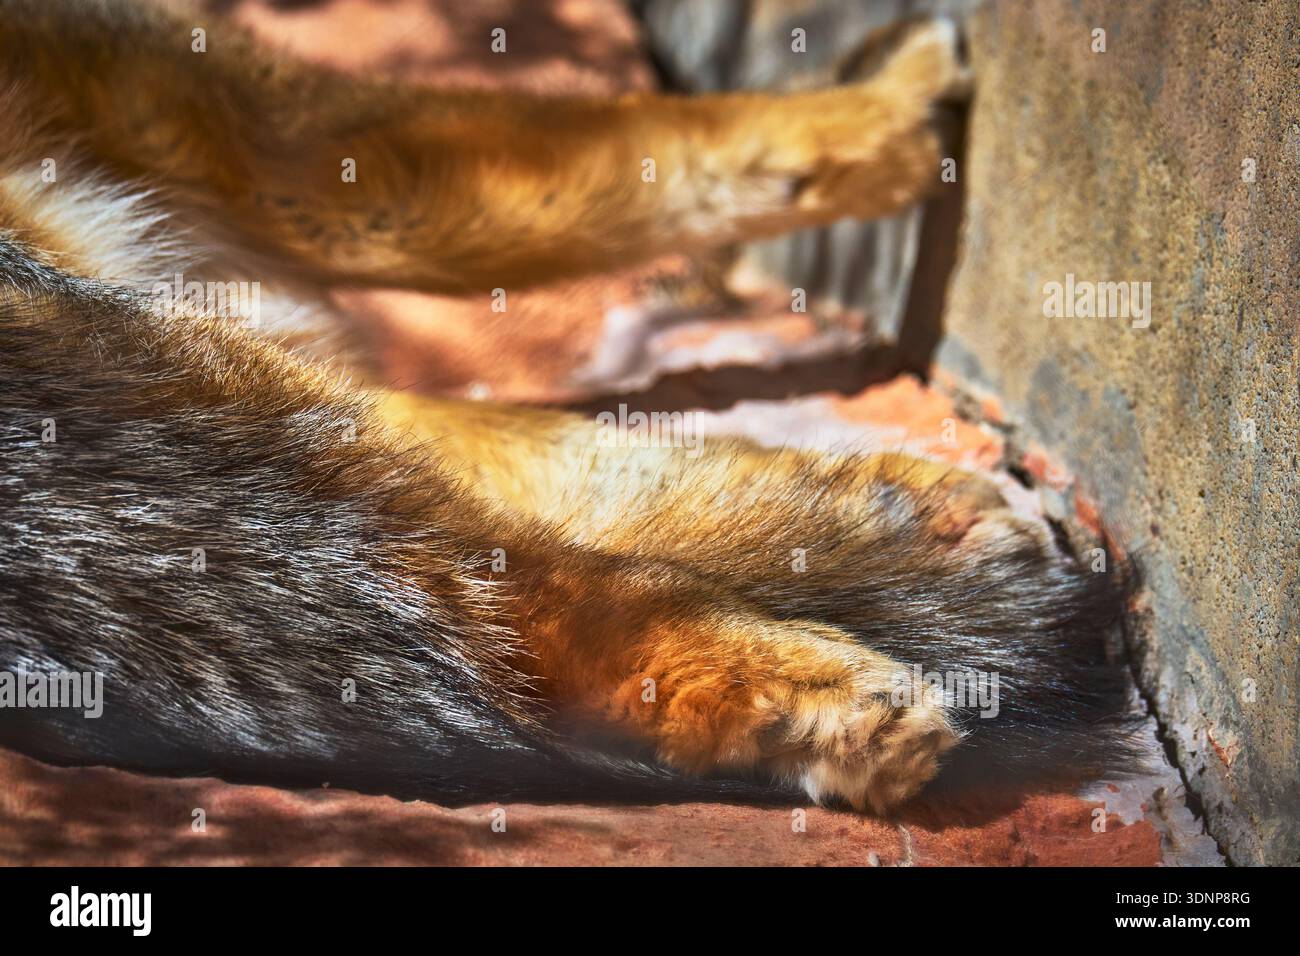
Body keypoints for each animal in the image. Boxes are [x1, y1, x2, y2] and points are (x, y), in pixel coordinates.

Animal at [0, 0, 1135, 816]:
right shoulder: (265, 126)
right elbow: (661, 149)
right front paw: (898, 101)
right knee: (522, 575)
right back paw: (824, 670)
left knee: (488, 530)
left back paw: (880, 543)